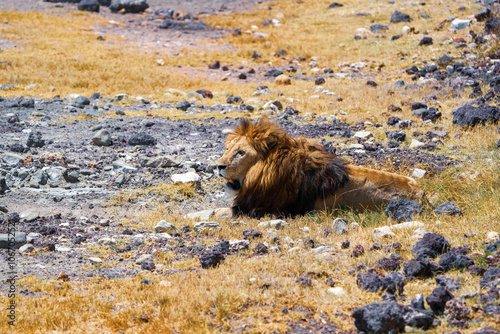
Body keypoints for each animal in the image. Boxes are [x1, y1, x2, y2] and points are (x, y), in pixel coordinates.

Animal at [217, 118, 428, 219]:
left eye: (240, 153)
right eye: (227, 149)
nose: (218, 166)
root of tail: (422, 193)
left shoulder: (261, 209)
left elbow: (218, 211)